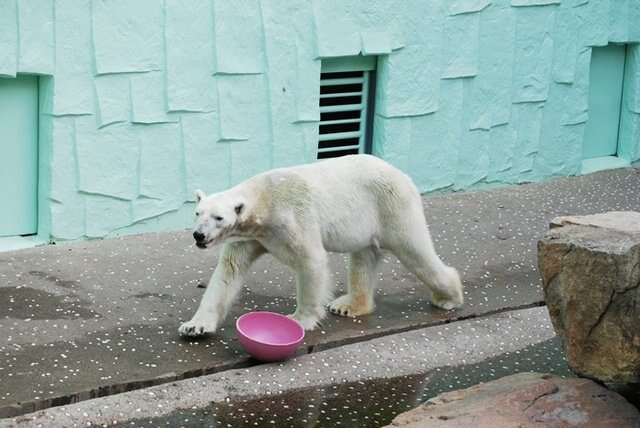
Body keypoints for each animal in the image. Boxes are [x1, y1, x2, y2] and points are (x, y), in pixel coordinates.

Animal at [178, 155, 462, 336]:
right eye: (197, 213)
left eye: (218, 217)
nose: (198, 235)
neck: (264, 200)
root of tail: (402, 174)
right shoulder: (250, 237)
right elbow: (228, 272)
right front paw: (194, 326)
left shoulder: (292, 218)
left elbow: (311, 260)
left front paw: (299, 320)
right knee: (363, 259)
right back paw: (349, 305)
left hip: (392, 206)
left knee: (415, 251)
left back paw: (448, 297)